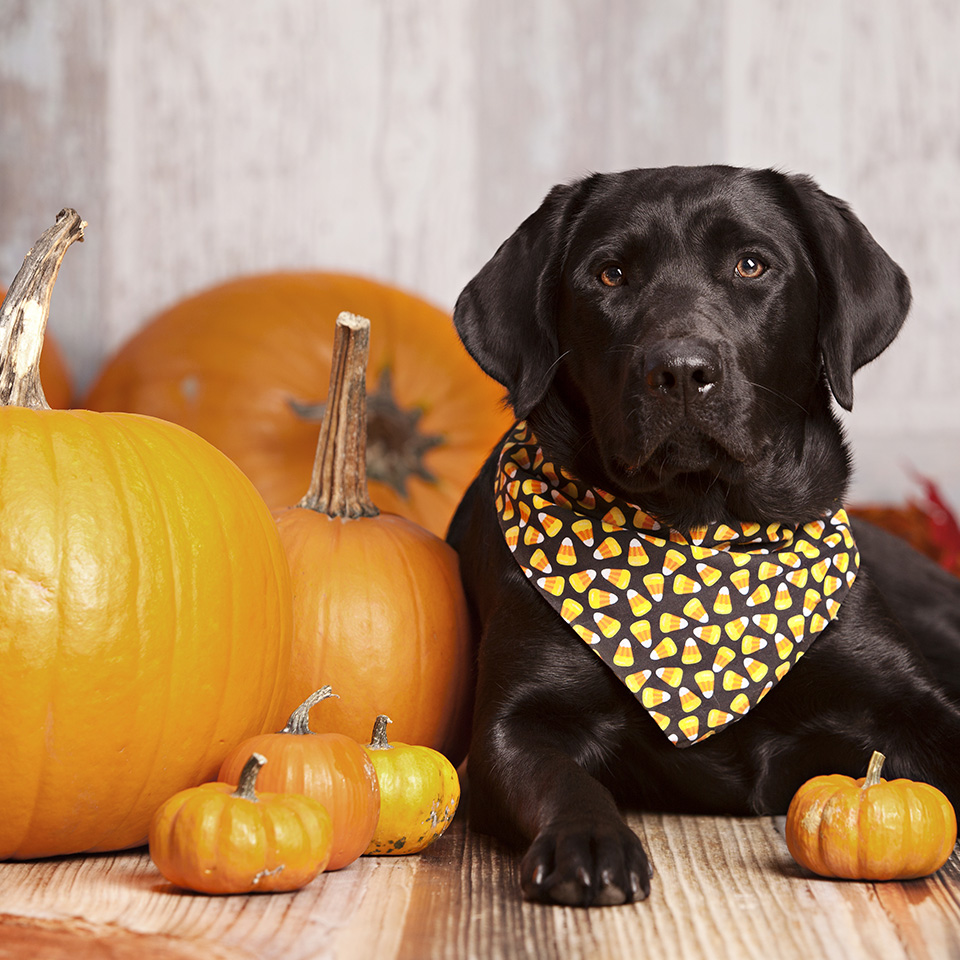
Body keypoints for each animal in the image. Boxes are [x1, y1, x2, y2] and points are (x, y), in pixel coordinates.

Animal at [446, 165, 960, 908]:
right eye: (609, 274)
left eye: (751, 264)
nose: (682, 371)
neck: (706, 534)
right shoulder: (513, 724)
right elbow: (561, 776)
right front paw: (589, 842)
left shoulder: (907, 702)